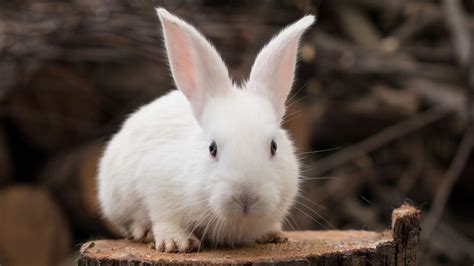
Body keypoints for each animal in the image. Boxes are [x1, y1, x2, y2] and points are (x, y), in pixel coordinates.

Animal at [98, 8, 314, 252]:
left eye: (274, 147)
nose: (246, 197)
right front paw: (176, 243)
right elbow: (165, 218)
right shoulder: (157, 187)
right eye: (212, 148)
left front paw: (273, 234)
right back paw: (143, 232)